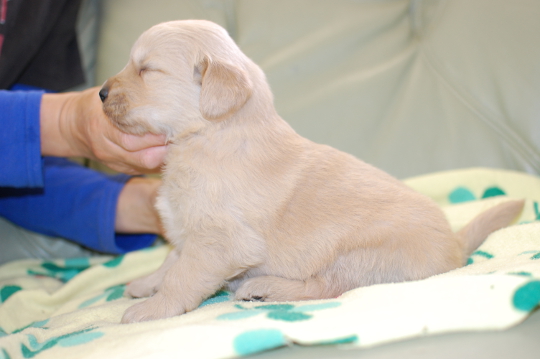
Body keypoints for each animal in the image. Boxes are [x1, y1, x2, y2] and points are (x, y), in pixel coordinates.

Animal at [99, 19, 524, 324]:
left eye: (146, 69)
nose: (100, 93)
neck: (211, 135)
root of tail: (455, 243)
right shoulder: (189, 229)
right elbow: (170, 261)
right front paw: (146, 284)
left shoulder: (220, 241)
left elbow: (182, 276)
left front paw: (154, 308)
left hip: (356, 256)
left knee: (326, 288)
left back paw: (265, 288)